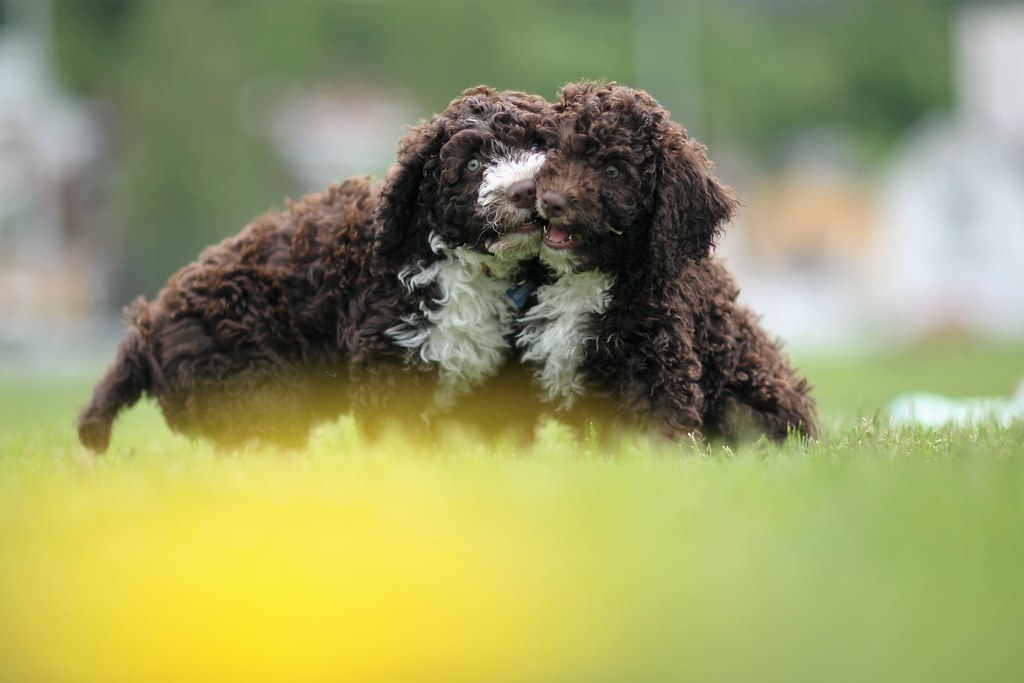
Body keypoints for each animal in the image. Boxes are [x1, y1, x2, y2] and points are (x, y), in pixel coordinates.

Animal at [77, 87, 552, 454]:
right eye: (472, 165)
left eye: (537, 146)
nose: (524, 189)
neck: (462, 262)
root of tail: (147, 327)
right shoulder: (389, 363)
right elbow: (401, 439)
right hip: (248, 385)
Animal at [520, 82, 815, 444]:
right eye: (555, 149)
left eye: (613, 171)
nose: (552, 201)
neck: (592, 275)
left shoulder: (657, 359)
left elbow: (663, 424)